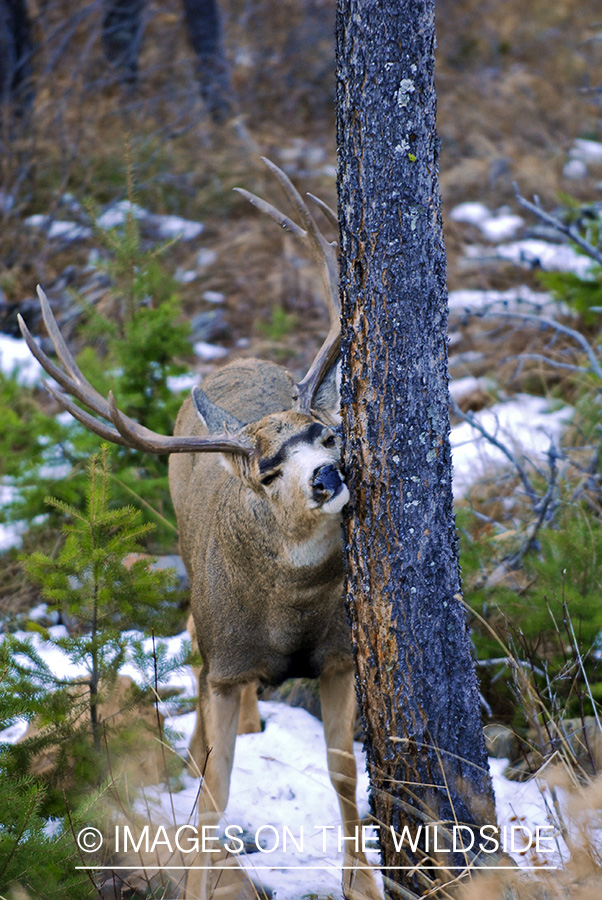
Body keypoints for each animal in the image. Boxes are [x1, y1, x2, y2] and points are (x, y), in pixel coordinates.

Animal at [18, 159, 381, 900]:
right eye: (268, 472)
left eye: (326, 433)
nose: (328, 477)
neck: (290, 617)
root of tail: (233, 361)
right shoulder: (226, 660)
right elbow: (214, 796)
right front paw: (196, 878)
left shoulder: (339, 655)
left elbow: (342, 772)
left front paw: (364, 884)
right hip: (195, 588)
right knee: (191, 648)